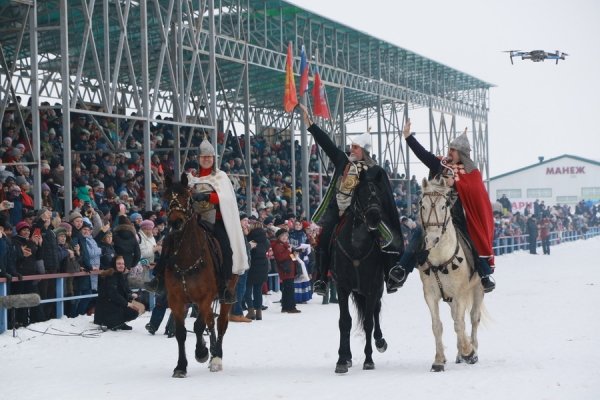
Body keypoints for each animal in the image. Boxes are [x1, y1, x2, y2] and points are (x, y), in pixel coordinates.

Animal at [162, 173, 232, 376]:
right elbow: (181, 333)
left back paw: (216, 357)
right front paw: (180, 366)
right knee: (210, 322)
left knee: (221, 323)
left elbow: (198, 326)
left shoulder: (205, 297)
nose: (175, 222)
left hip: (227, 293)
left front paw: (201, 352)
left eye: (187, 196)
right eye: (166, 197)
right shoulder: (176, 299)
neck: (187, 256)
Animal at [328, 180, 394, 374]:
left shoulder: (372, 288)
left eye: (379, 194)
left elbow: (368, 323)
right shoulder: (342, 287)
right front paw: (342, 360)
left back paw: (380, 342)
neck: (356, 246)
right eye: (362, 193)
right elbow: (345, 322)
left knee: (375, 312)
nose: (374, 217)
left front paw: (369, 360)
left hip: (375, 289)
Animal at [420, 177, 486, 372]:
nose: (432, 239)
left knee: (472, 318)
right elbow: (437, 326)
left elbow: (459, 323)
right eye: (422, 205)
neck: (440, 258)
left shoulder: (460, 294)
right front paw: (438, 361)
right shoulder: (431, 295)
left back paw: (471, 350)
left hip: (478, 290)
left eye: (444, 206)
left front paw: (469, 352)